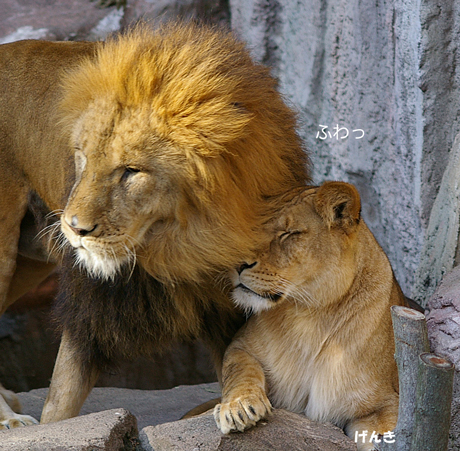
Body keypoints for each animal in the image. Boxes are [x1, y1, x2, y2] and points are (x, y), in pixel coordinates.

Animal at [0, 23, 310, 430]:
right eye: (82, 157)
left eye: (131, 171)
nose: (74, 229)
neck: (182, 242)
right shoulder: (93, 303)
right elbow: (62, 397)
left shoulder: (231, 299)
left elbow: (237, 360)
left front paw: (239, 403)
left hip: (29, 261)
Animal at [216, 183, 406, 451]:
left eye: (289, 233)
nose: (235, 262)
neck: (311, 314)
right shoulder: (239, 346)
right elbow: (240, 370)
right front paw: (238, 407)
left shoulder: (388, 403)